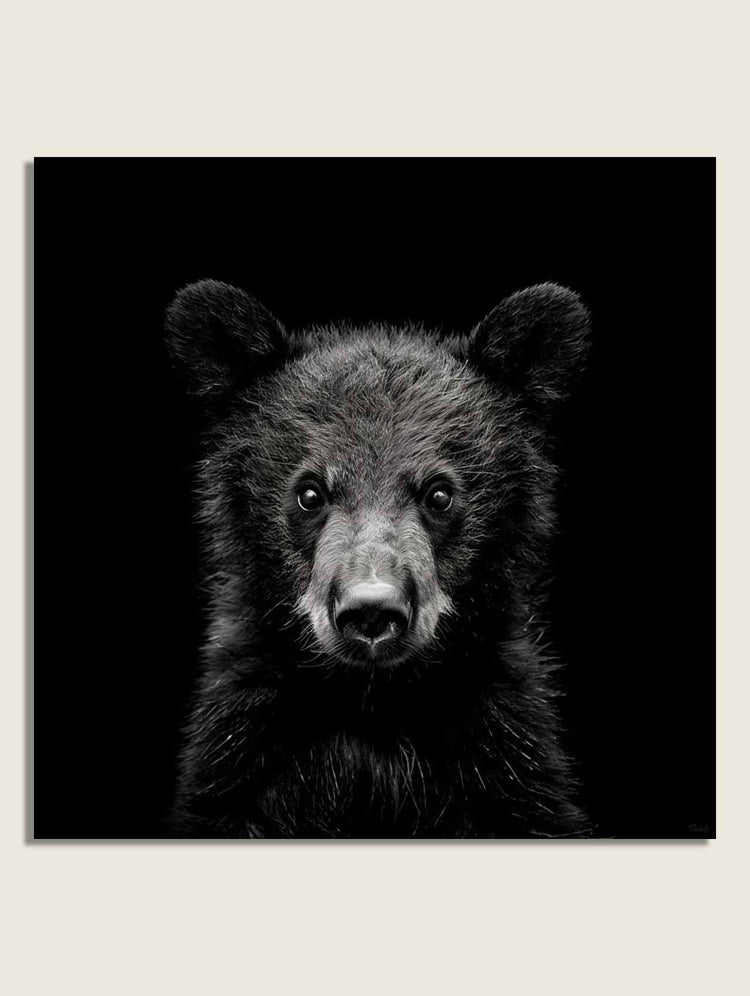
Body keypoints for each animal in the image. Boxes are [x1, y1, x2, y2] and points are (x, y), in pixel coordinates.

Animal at [164, 279, 591, 838]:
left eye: (439, 494)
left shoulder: (505, 758)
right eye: (309, 493)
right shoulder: (242, 753)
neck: (373, 707)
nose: (371, 611)